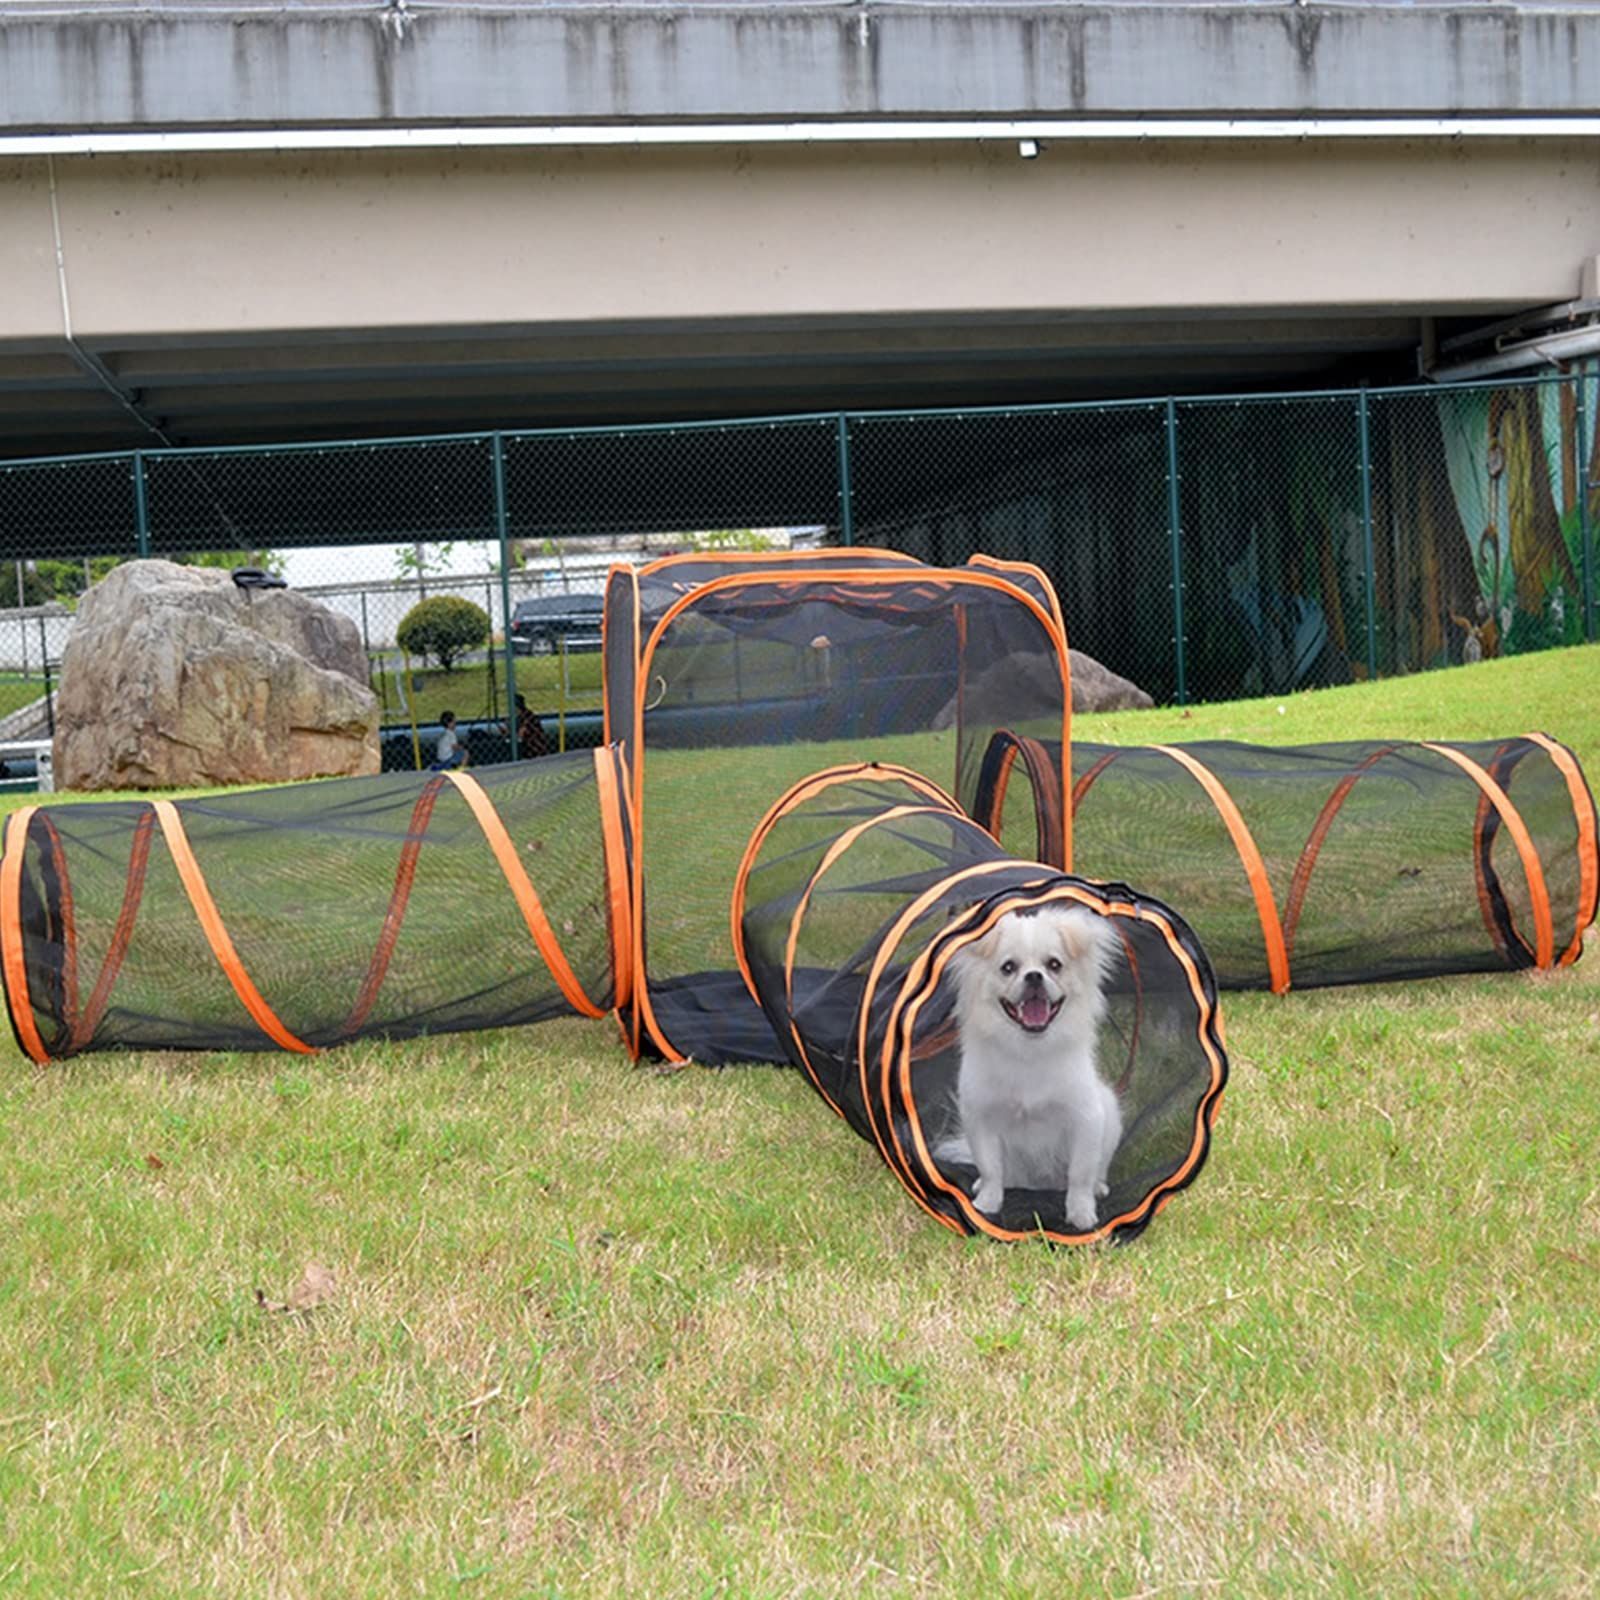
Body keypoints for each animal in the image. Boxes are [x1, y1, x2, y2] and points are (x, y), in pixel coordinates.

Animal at [934, 908, 1126, 1228]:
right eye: (1008, 968)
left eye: (1054, 965)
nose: (1034, 976)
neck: (1029, 1049)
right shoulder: (982, 1120)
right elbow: (990, 1168)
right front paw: (986, 1204)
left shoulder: (1085, 1121)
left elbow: (1080, 1174)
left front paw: (1081, 1215)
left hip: (1109, 1114)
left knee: (1097, 1169)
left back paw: (1098, 1187)